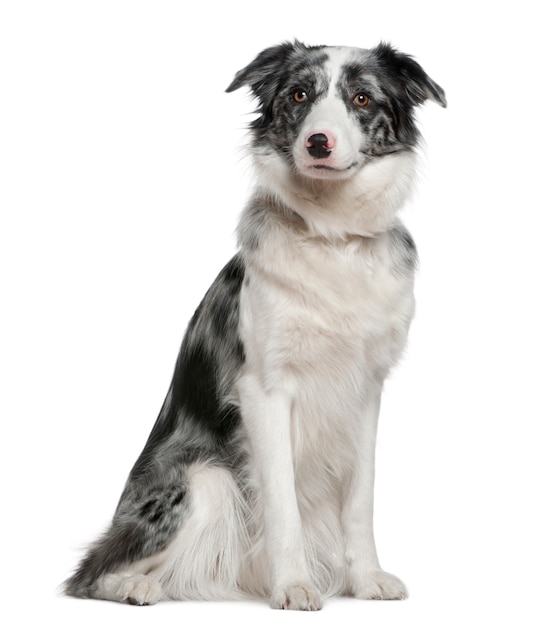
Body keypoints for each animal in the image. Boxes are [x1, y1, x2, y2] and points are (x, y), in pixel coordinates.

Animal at [63, 41, 448, 608]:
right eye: (299, 94)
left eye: (362, 97)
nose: (317, 142)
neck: (331, 235)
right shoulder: (265, 389)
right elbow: (282, 502)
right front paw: (292, 585)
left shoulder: (365, 390)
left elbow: (361, 498)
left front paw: (366, 578)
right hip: (203, 480)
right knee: (92, 572)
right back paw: (135, 585)